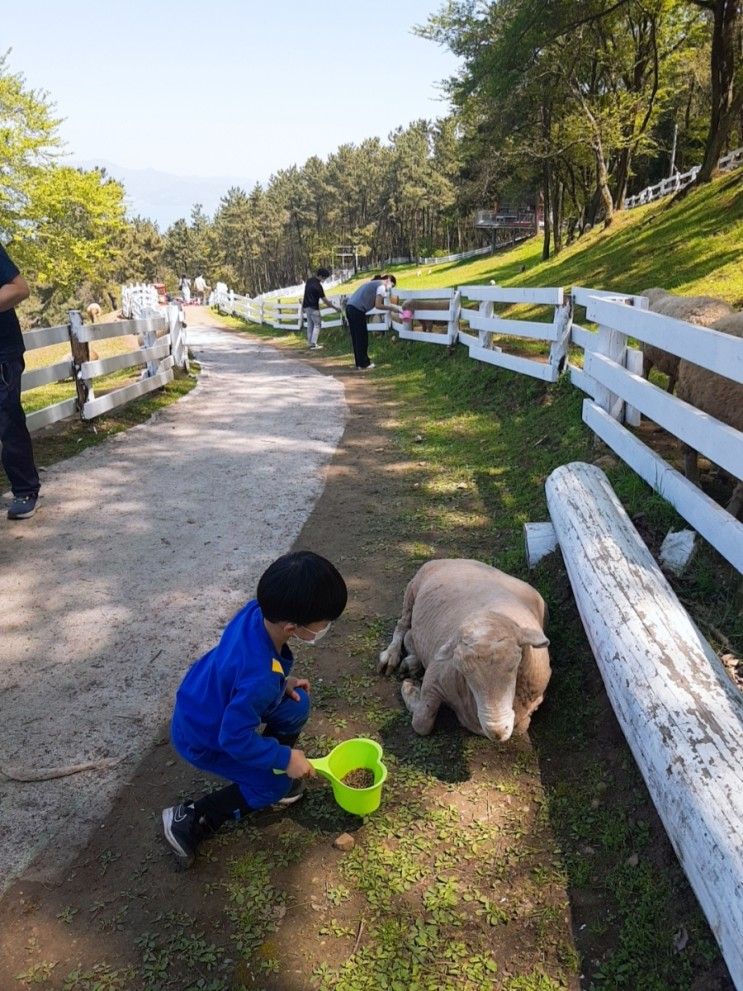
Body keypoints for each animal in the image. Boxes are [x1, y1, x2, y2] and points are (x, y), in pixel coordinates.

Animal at [380, 560, 548, 740]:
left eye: (514, 666)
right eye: (464, 672)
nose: (497, 731)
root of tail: (456, 559)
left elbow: (521, 727)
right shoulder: (434, 678)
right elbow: (422, 723)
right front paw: (410, 689)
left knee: (410, 635)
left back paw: (412, 662)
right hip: (412, 590)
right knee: (402, 625)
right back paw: (391, 657)